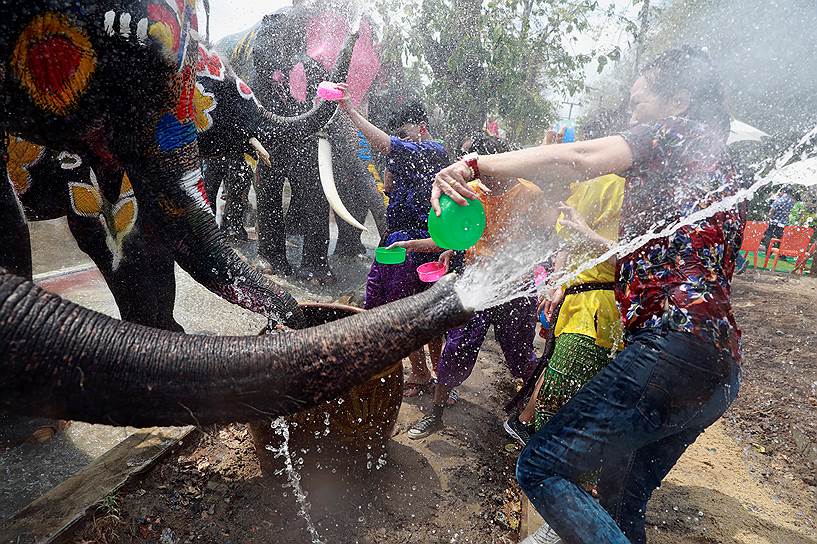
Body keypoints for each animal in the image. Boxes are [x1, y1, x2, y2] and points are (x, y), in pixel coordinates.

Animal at [5, 36, 354, 332]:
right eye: (229, 97)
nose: (294, 319)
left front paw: (172, 331)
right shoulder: (87, 157)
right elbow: (116, 235)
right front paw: (154, 332)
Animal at [217, 4, 388, 282]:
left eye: (369, 85)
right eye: (307, 74)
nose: (355, 30)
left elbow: (314, 178)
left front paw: (318, 278)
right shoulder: (260, 90)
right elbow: (269, 171)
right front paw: (272, 269)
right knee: (238, 170)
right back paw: (235, 238)